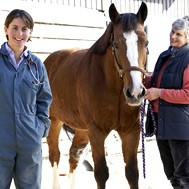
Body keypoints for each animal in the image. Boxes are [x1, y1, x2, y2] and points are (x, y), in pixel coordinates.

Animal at [44, 1, 148, 189]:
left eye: (146, 43)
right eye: (116, 45)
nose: (135, 92)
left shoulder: (131, 131)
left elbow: (132, 173)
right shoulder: (97, 132)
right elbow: (101, 173)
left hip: (81, 129)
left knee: (74, 155)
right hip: (54, 121)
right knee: (54, 155)